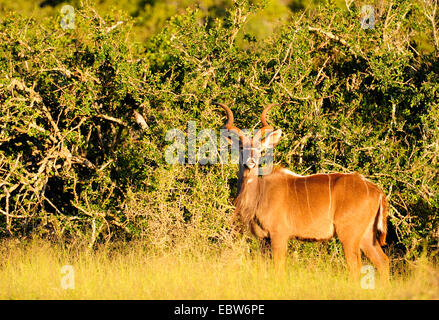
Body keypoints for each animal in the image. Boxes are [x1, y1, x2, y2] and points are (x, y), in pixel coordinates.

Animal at [218, 102, 390, 282]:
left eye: (260, 149)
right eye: (241, 147)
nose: (251, 162)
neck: (259, 194)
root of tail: (377, 191)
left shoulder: (279, 235)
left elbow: (278, 269)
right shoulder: (263, 240)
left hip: (349, 235)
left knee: (355, 267)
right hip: (366, 236)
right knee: (383, 262)